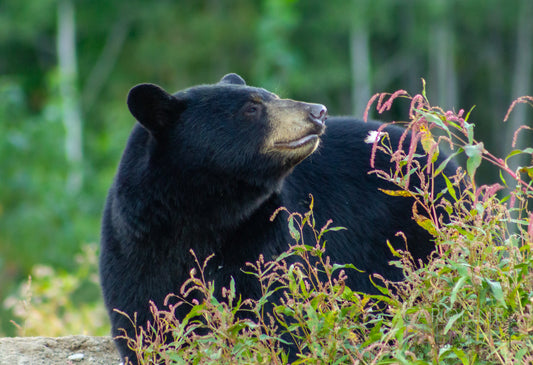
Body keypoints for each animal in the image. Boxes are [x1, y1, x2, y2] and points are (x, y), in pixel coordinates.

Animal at [98, 73, 454, 362]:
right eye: (251, 108)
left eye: (270, 95)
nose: (318, 111)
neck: (202, 214)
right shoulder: (136, 244)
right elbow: (145, 319)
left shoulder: (263, 230)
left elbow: (275, 310)